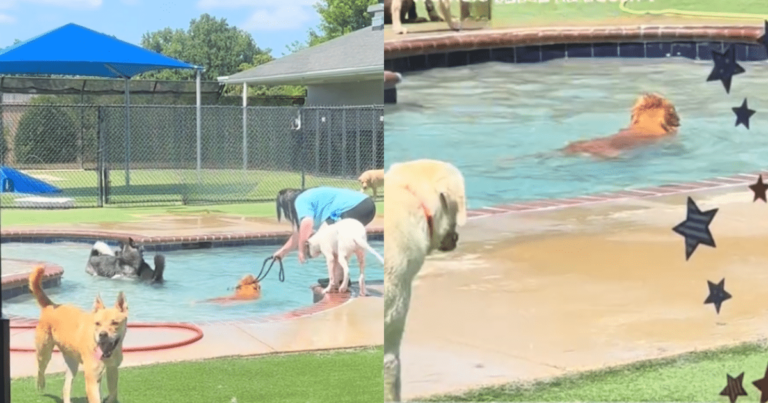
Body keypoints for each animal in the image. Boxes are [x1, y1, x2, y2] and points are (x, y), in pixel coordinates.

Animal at [30, 266, 129, 403]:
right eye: (97, 323)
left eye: (114, 323)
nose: (102, 334)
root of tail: (51, 305)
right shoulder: (92, 378)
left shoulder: (112, 370)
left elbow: (113, 394)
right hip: (44, 352)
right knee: (40, 368)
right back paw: (40, 383)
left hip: (72, 363)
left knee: (66, 388)